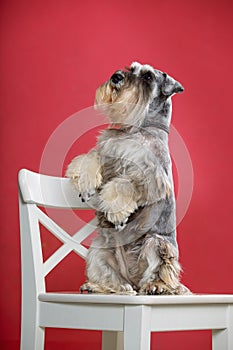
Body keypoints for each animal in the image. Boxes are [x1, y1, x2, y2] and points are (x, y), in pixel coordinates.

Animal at [66, 61, 190, 294]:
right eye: (132, 69)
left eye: (148, 77)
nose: (116, 77)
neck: (136, 128)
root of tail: (133, 280)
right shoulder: (108, 152)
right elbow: (92, 156)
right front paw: (86, 183)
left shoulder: (151, 178)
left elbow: (123, 184)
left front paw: (117, 214)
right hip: (99, 250)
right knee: (114, 281)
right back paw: (97, 286)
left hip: (156, 243)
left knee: (162, 272)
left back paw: (157, 286)